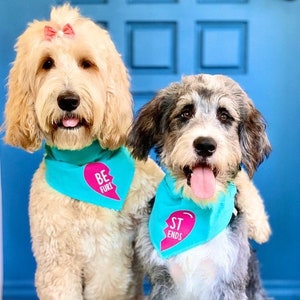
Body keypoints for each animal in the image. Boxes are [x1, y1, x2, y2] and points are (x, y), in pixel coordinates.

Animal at [127, 74, 274, 298]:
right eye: (186, 112)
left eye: (224, 115)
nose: (205, 145)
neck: (198, 205)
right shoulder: (162, 282)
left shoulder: (228, 284)